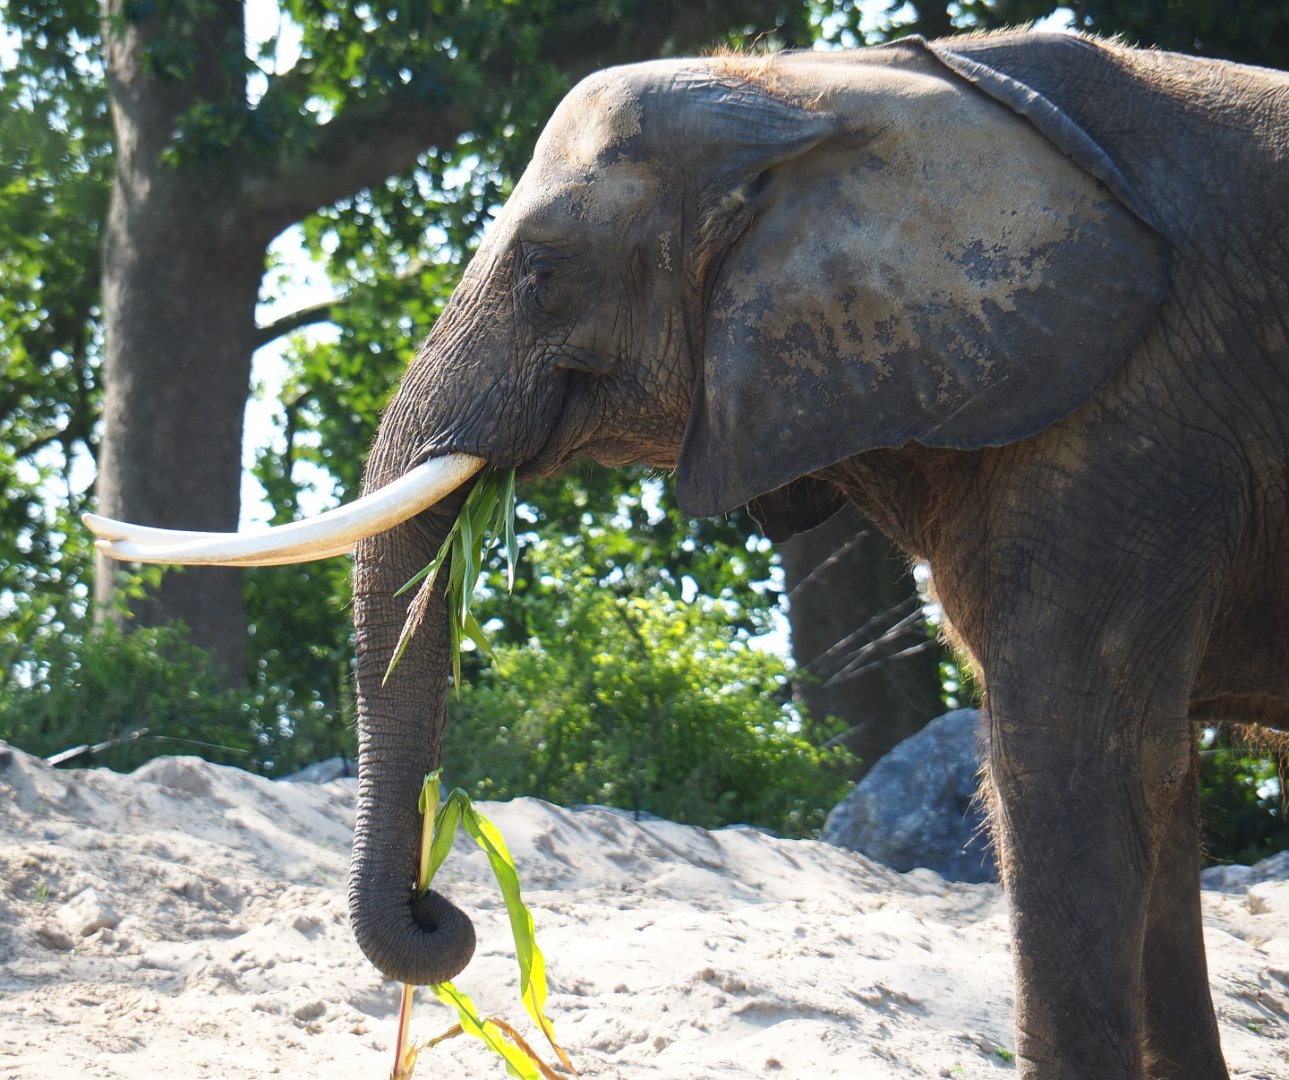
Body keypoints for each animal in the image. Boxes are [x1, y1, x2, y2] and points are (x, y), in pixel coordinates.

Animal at [87, 29, 1289, 1080]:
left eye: (541, 272)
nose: (441, 908)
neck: (828, 85)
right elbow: (1154, 778)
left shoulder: (1137, 415)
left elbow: (1071, 761)